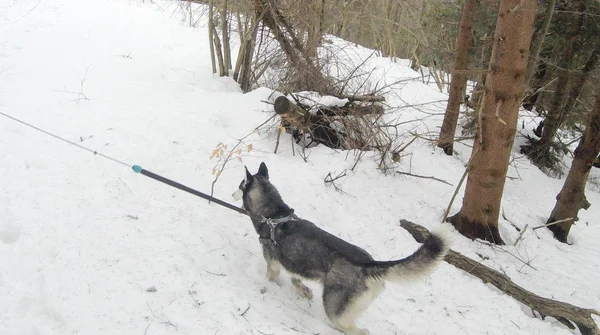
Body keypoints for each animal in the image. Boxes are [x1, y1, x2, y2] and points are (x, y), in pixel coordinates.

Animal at [234, 162, 450, 334]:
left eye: (239, 185)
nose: (232, 192)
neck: (273, 215)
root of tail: (368, 263)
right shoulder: (295, 265)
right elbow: (296, 280)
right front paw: (304, 291)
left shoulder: (273, 264)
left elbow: (272, 277)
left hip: (335, 311)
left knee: (359, 331)